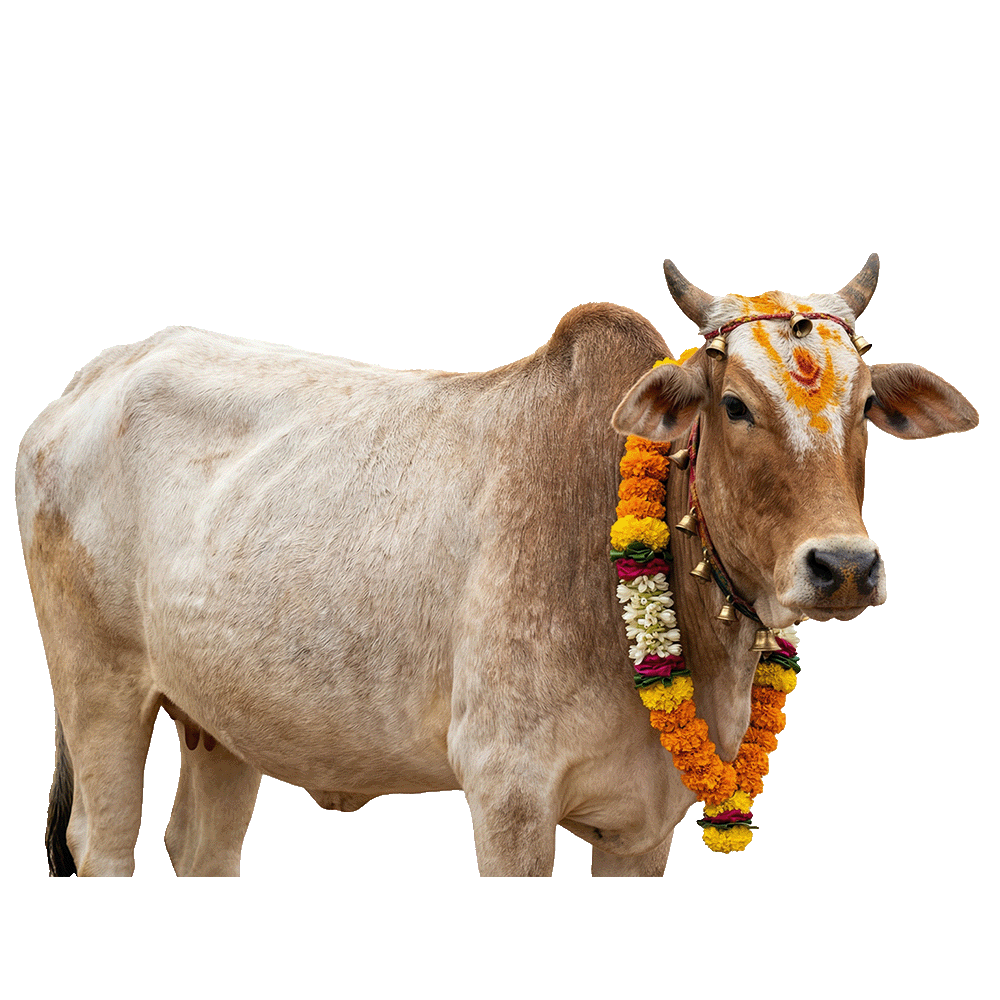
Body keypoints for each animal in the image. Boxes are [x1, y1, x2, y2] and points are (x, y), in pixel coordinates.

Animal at [16, 255, 978, 877]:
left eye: (865, 405)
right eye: (735, 404)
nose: (844, 567)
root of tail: (87, 380)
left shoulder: (643, 829)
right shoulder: (508, 796)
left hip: (221, 718)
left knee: (201, 849)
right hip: (99, 689)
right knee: (104, 844)